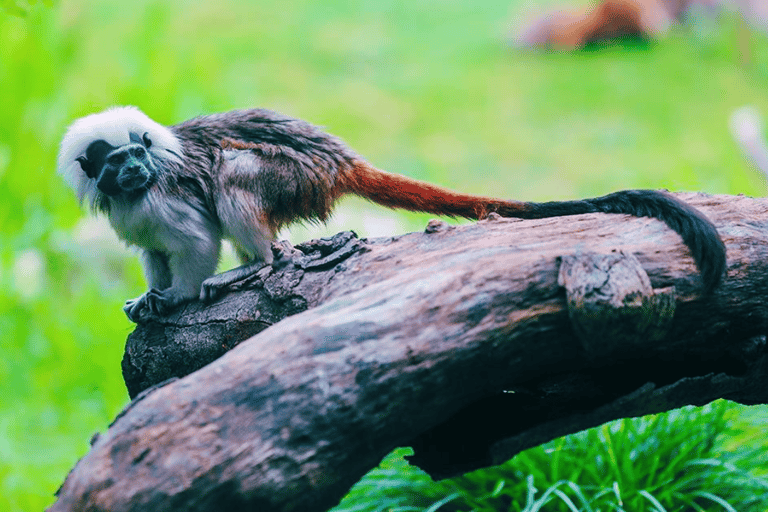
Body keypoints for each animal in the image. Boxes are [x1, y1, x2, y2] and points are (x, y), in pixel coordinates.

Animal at [58, 106, 728, 322]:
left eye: (138, 154)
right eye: (117, 162)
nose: (135, 169)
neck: (136, 192)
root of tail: (336, 160)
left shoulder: (162, 197)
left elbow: (194, 242)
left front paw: (177, 297)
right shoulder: (134, 213)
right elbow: (154, 253)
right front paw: (151, 297)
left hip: (293, 176)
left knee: (236, 170)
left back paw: (259, 263)